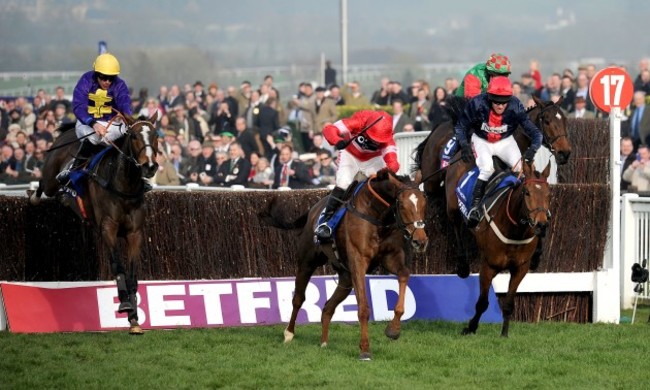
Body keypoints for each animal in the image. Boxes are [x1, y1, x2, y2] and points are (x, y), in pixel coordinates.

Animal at [29, 111, 159, 334]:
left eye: (156, 135)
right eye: (134, 136)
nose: (149, 166)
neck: (124, 186)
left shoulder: (135, 233)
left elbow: (133, 273)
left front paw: (134, 318)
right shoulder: (108, 227)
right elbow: (117, 265)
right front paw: (125, 304)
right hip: (52, 180)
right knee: (43, 184)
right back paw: (34, 196)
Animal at [260, 169, 428, 362]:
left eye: (424, 202)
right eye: (402, 205)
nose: (420, 241)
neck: (376, 216)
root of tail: (313, 210)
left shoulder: (391, 258)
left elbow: (404, 275)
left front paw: (393, 330)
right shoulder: (358, 263)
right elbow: (363, 308)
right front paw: (365, 349)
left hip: (346, 278)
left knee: (328, 307)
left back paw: (324, 343)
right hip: (307, 262)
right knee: (298, 298)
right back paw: (289, 333)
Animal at [446, 160, 548, 336]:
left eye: (549, 194)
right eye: (527, 192)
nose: (541, 225)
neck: (515, 231)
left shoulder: (520, 268)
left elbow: (508, 303)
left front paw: (504, 334)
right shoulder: (489, 265)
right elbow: (482, 302)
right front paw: (471, 327)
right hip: (452, 207)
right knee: (457, 226)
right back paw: (463, 265)